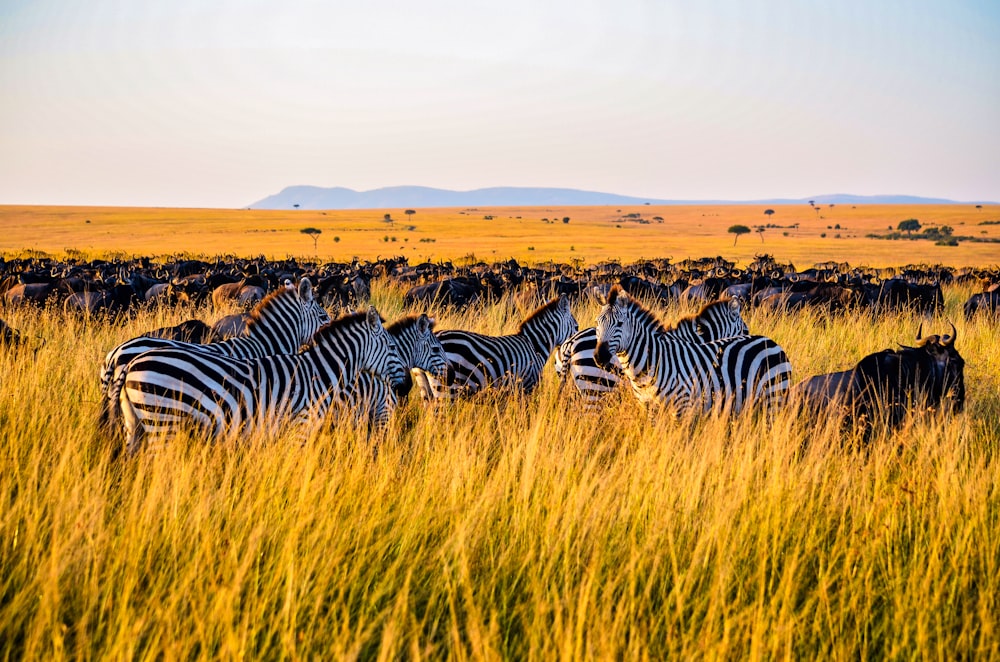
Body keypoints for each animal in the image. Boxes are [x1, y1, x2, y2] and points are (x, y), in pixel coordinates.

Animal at [120, 308, 406, 454]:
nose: (405, 387)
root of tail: (131, 364)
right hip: (163, 421)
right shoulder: (300, 426)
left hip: (136, 424)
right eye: (392, 346)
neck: (320, 373)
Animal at [408, 294, 580, 400]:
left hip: (427, 389)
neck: (534, 345)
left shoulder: (508, 391)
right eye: (577, 327)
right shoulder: (526, 386)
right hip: (446, 387)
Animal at [592, 290, 788, 418]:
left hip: (773, 397)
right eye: (597, 323)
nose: (599, 356)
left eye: (619, 323)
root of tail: (771, 341)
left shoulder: (683, 406)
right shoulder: (649, 408)